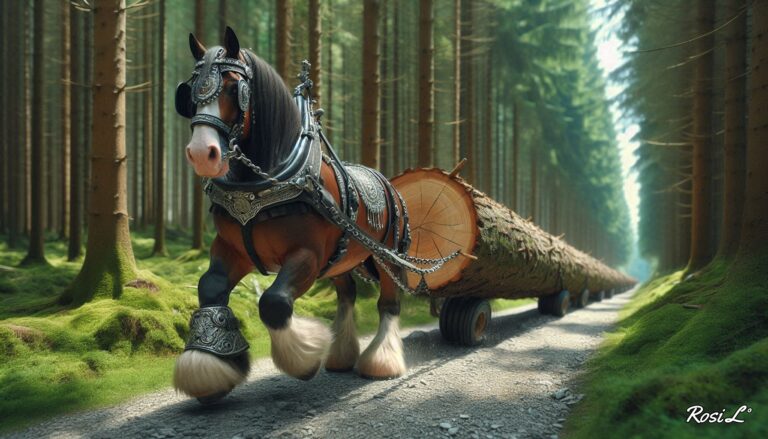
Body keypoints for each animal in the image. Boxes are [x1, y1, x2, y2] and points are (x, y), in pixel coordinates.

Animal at [172, 27, 419, 402]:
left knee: (389, 304)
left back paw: (381, 362)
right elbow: (210, 288)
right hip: (341, 259)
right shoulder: (232, 250)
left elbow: (273, 302)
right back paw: (341, 355)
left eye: (232, 87)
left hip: (386, 256)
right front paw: (209, 367)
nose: (202, 153)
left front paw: (303, 356)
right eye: (190, 90)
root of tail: (386, 181)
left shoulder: (307, 254)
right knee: (346, 295)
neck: (263, 180)